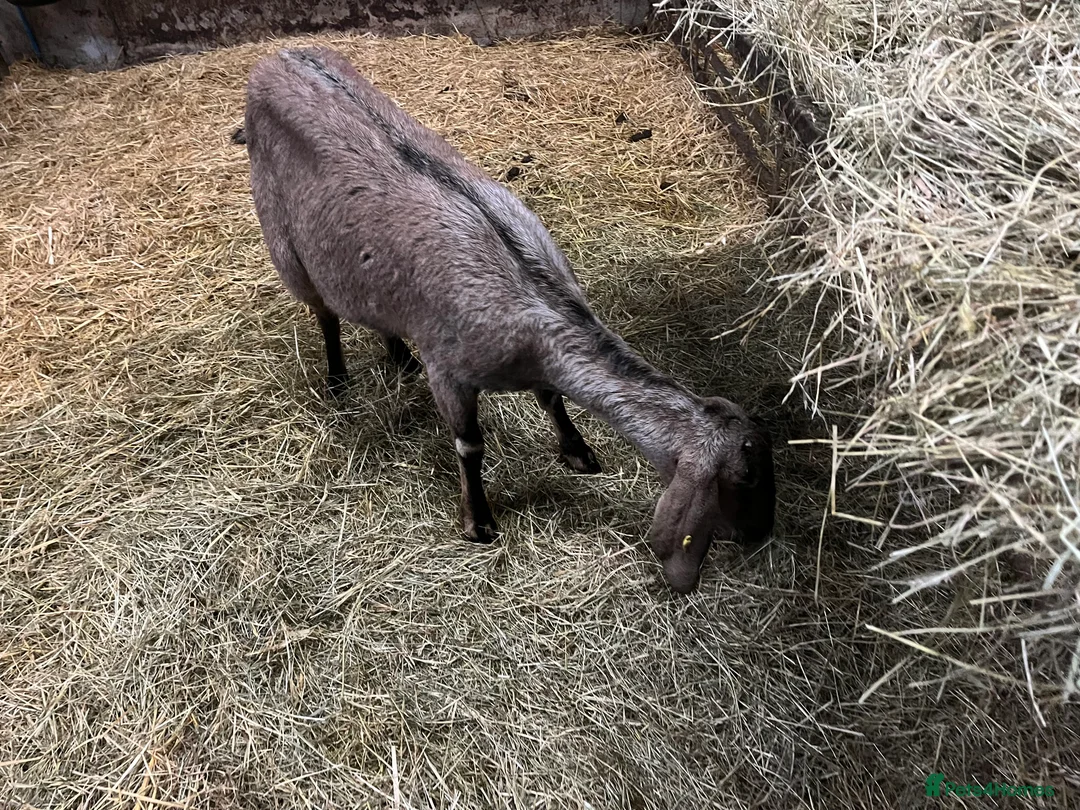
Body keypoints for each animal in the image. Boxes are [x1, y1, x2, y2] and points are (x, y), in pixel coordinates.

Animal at [236, 46, 775, 594]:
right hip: (283, 237)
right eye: (745, 476)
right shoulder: (449, 370)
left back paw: (398, 355)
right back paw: (338, 378)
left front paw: (578, 452)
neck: (533, 304)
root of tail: (275, 59)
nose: (761, 535)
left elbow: (553, 399)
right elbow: (469, 445)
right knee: (324, 312)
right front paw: (479, 522)